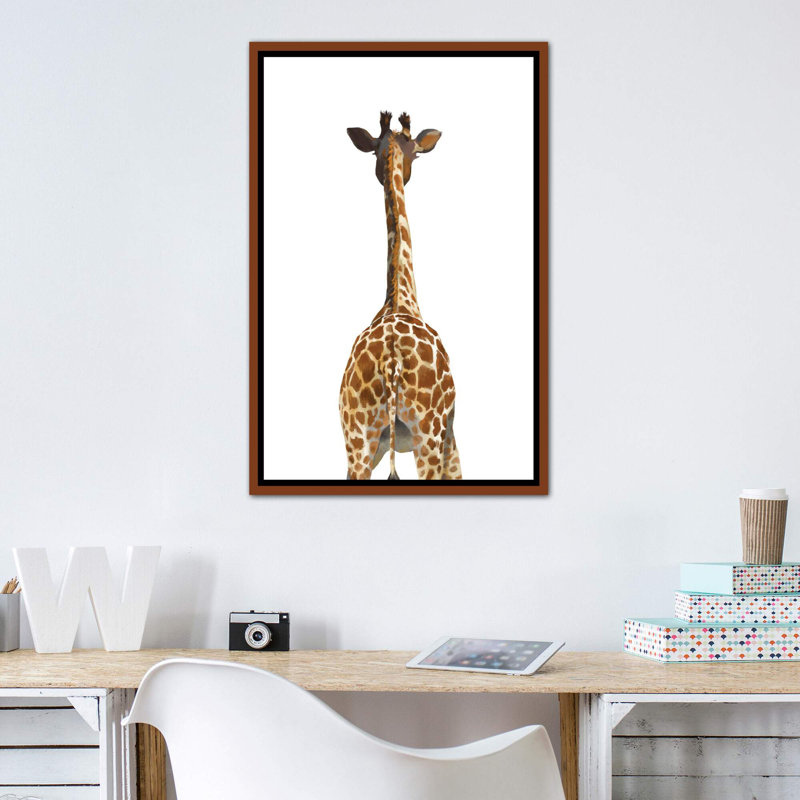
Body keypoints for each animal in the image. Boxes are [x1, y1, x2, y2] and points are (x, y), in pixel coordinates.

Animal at [339, 111, 462, 481]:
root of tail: (391, 362)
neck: (401, 298)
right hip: (428, 434)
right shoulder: (452, 436)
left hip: (358, 441)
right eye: (417, 155)